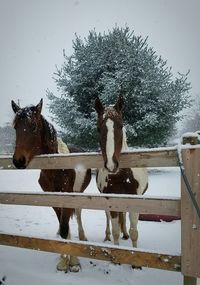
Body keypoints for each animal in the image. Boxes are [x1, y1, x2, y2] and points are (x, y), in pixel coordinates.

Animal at [11, 98, 91, 272]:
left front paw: (74, 262)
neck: (56, 167)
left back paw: (83, 236)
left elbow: (65, 227)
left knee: (78, 214)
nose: (18, 161)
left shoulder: (68, 198)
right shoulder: (53, 200)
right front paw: (63, 261)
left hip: (79, 194)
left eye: (33, 126)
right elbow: (63, 229)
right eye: (15, 127)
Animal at [94, 95, 148, 248]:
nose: (111, 165)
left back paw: (126, 234)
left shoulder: (134, 201)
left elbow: (134, 232)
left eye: (121, 125)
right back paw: (108, 236)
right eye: (98, 128)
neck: (121, 176)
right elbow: (115, 231)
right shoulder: (112, 201)